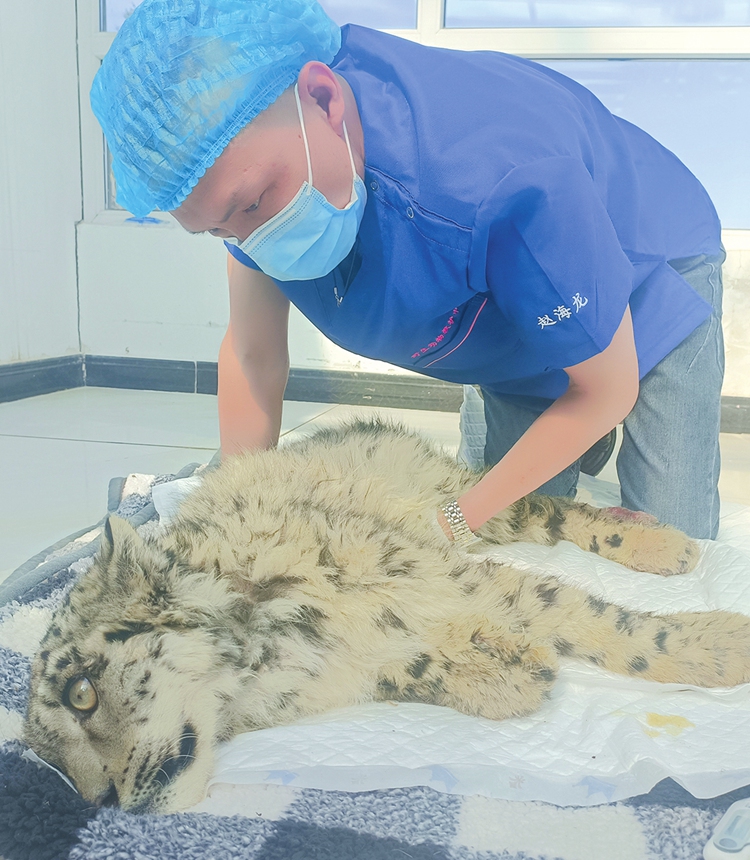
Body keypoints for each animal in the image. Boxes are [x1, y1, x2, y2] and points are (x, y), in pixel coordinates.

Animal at [24, 418, 750, 814]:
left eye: (82, 691)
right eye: (47, 759)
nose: (101, 801)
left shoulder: (446, 576)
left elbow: (604, 624)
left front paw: (722, 645)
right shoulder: (374, 667)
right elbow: (428, 670)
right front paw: (511, 664)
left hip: (469, 504)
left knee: (550, 508)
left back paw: (665, 545)